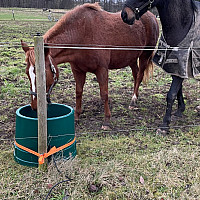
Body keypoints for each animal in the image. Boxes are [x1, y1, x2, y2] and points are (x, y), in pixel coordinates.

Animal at [21, 2, 159, 130]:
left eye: (43, 73)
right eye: (27, 73)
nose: (34, 106)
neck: (81, 33)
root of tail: (152, 16)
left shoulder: (102, 70)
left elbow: (104, 94)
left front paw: (106, 121)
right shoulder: (77, 70)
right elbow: (78, 92)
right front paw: (76, 116)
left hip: (144, 56)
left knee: (139, 76)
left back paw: (133, 100)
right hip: (131, 59)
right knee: (136, 75)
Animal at [121, 0, 200, 134]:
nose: (124, 15)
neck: (183, 25)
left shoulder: (181, 66)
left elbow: (171, 94)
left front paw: (164, 125)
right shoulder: (175, 67)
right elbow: (178, 90)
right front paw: (180, 110)